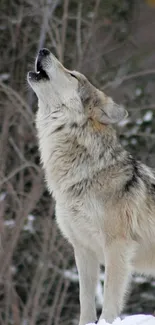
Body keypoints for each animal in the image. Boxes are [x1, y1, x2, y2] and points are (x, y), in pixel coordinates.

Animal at [27, 48, 155, 324]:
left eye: (73, 75)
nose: (43, 50)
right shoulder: (83, 249)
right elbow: (85, 300)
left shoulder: (116, 246)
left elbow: (109, 301)